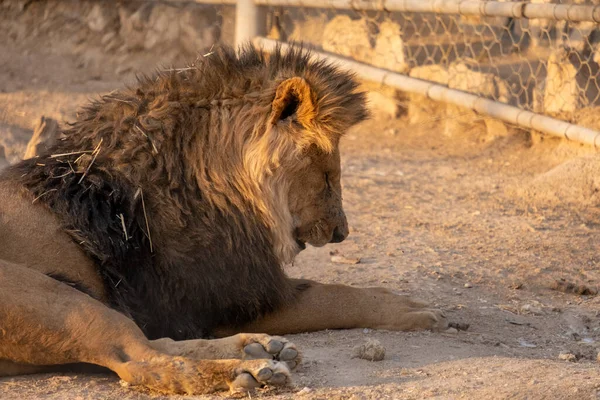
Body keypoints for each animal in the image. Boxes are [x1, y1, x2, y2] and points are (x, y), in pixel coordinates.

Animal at [0, 44, 446, 394]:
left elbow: (327, 289)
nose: (341, 233)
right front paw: (410, 308)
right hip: (54, 299)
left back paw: (259, 349)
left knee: (152, 345)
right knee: (141, 361)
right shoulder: (223, 299)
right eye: (325, 172)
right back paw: (247, 371)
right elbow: (331, 295)